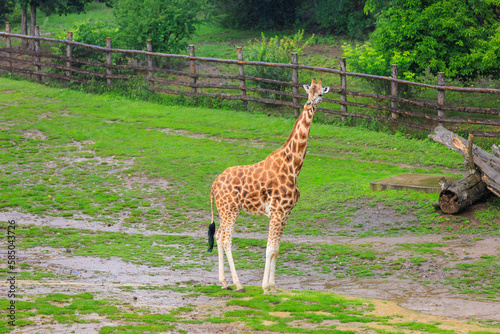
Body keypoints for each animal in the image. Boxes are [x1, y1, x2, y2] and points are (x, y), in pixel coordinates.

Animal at [206, 77, 328, 294]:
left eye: (320, 93)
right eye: (308, 92)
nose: (309, 104)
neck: (293, 166)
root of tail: (213, 185)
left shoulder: (286, 213)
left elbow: (276, 250)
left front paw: (273, 286)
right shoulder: (278, 211)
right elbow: (269, 249)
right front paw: (265, 287)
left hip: (225, 210)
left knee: (219, 236)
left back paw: (224, 282)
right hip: (230, 210)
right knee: (226, 239)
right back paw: (238, 285)